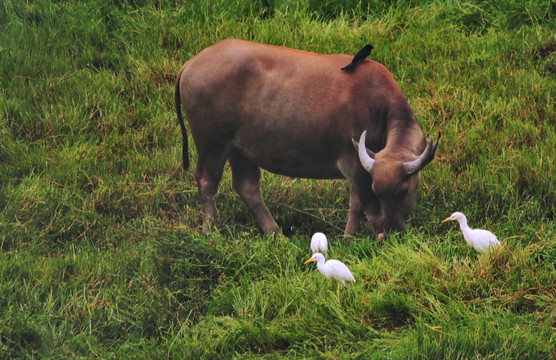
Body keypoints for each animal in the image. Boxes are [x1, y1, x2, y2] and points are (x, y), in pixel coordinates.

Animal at [174, 40, 438, 236]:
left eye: (403, 191)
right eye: (379, 189)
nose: (394, 232)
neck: (378, 106)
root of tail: (191, 63)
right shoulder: (355, 165)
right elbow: (362, 207)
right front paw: (354, 237)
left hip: (239, 149)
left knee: (246, 185)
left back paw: (276, 234)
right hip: (211, 143)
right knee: (206, 180)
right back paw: (211, 229)